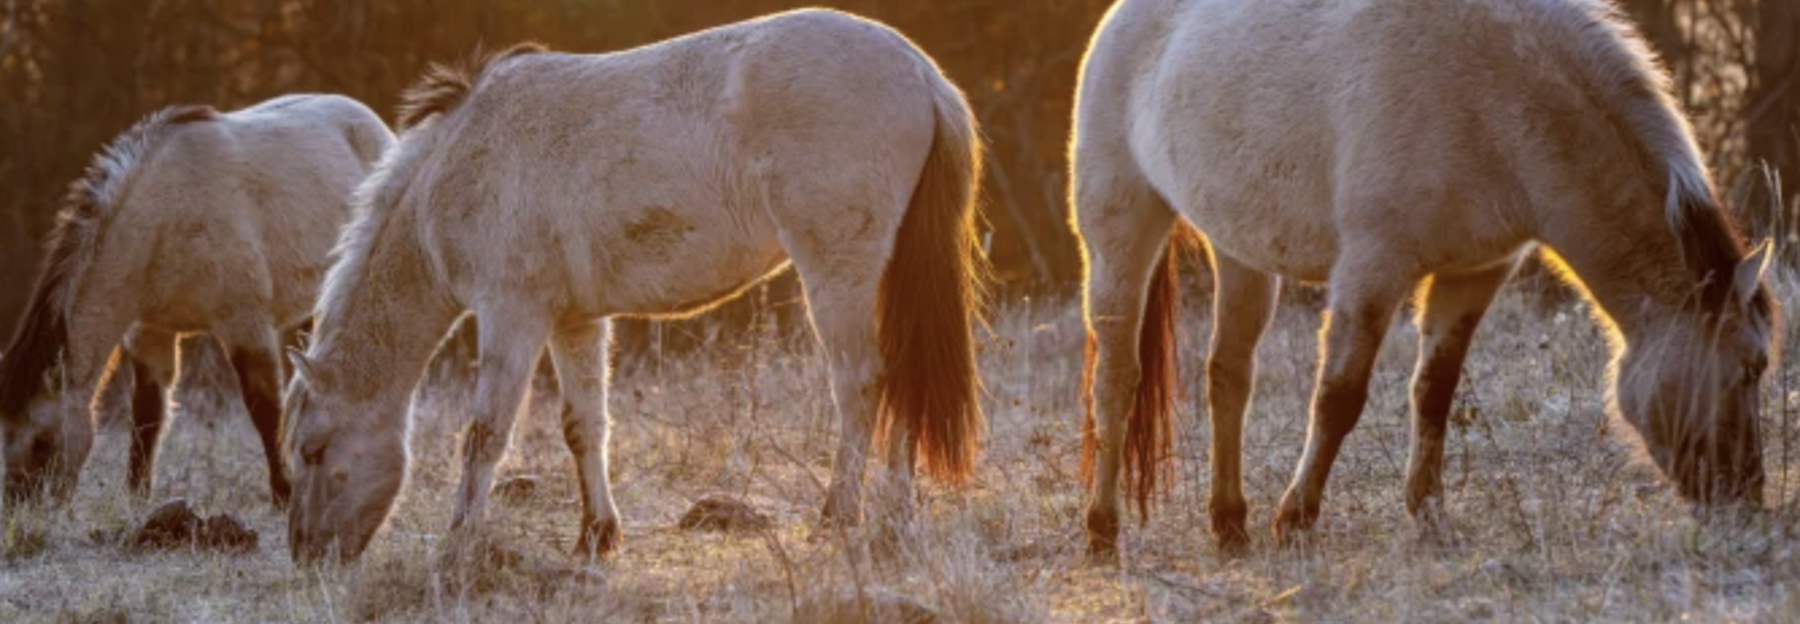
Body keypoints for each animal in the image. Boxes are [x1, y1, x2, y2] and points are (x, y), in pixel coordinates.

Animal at [0, 95, 393, 506]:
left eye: (41, 441)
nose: (19, 505)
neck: (165, 215)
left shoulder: (245, 324)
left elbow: (264, 409)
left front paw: (283, 494)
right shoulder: (150, 332)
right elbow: (148, 415)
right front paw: (137, 496)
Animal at [281, 9, 987, 564]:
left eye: (313, 452)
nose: (306, 553)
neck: (455, 167)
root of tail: (920, 72)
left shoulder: (512, 313)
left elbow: (485, 433)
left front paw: (460, 544)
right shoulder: (574, 320)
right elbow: (584, 424)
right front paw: (597, 535)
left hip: (838, 271)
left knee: (863, 383)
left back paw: (839, 516)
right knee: (902, 384)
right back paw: (896, 517)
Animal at [1071, 0, 1778, 554]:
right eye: (1750, 367)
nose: (1745, 500)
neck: (1494, 91)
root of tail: (1119, 21)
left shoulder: (1474, 275)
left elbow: (1434, 392)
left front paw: (1429, 516)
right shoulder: (1372, 268)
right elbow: (1339, 397)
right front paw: (1296, 520)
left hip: (1240, 251)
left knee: (1228, 377)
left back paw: (1229, 525)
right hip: (1120, 237)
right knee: (1117, 377)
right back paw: (1102, 529)